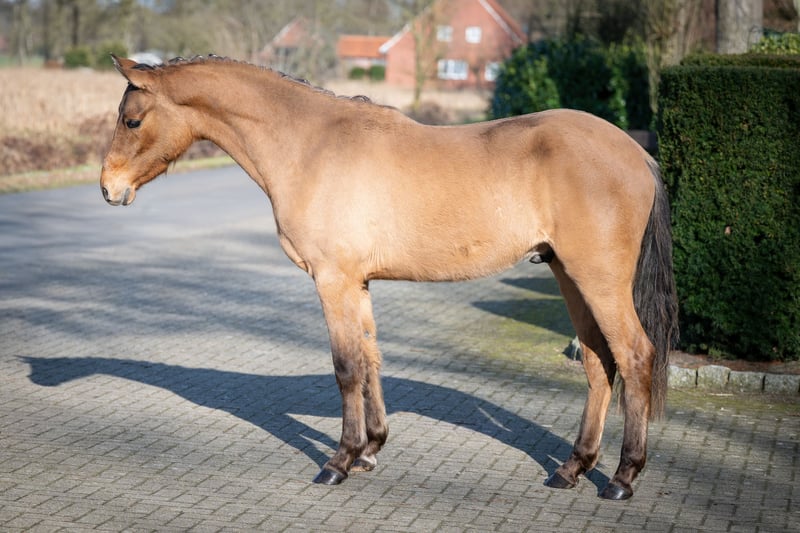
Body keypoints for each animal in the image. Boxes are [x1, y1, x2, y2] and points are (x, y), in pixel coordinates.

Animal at [100, 55, 678, 500]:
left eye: (131, 121)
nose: (108, 188)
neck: (310, 143)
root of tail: (637, 154)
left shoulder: (332, 280)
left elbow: (345, 367)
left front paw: (338, 461)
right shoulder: (357, 283)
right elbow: (370, 358)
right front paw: (371, 450)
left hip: (598, 281)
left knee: (634, 357)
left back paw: (622, 478)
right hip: (568, 277)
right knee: (599, 364)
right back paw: (572, 468)